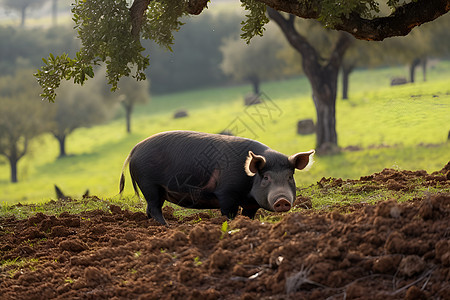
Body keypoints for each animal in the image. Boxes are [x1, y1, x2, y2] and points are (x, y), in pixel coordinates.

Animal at [120, 130, 316, 224]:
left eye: (290, 176)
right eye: (266, 178)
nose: (282, 200)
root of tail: (134, 149)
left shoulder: (251, 204)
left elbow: (248, 216)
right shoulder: (226, 194)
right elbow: (228, 214)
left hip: (155, 190)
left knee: (150, 209)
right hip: (149, 184)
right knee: (154, 208)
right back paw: (167, 227)